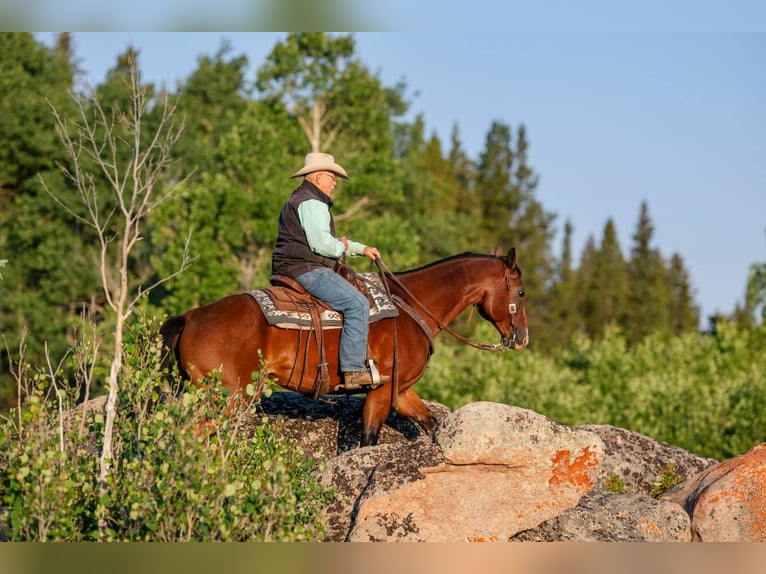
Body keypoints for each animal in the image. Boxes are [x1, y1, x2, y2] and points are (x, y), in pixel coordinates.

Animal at [159, 248, 529, 447]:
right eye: (522, 292)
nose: (523, 337)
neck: (410, 306)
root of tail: (192, 316)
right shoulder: (380, 391)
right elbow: (368, 440)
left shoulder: (400, 392)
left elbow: (430, 423)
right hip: (225, 398)